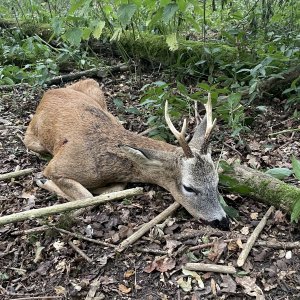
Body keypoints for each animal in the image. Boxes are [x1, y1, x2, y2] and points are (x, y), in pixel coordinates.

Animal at [24, 78, 230, 230]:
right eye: (189, 187)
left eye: (217, 182)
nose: (222, 221)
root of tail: (48, 93)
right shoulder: (57, 166)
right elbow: (87, 197)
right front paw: (42, 181)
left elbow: (114, 189)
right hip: (32, 140)